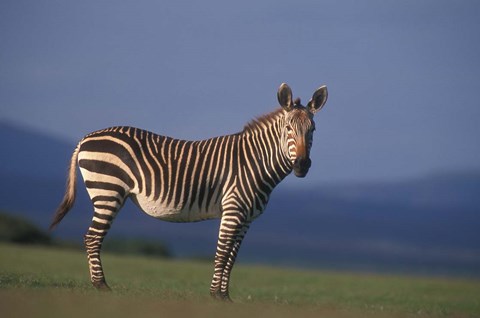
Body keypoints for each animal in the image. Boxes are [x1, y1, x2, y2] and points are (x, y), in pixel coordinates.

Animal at [49, 82, 326, 300]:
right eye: (288, 129)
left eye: (312, 131)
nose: (302, 165)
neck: (256, 162)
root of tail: (87, 137)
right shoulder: (233, 209)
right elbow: (222, 252)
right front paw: (215, 296)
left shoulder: (246, 218)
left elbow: (232, 257)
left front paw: (226, 297)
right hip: (107, 191)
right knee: (92, 237)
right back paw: (101, 286)